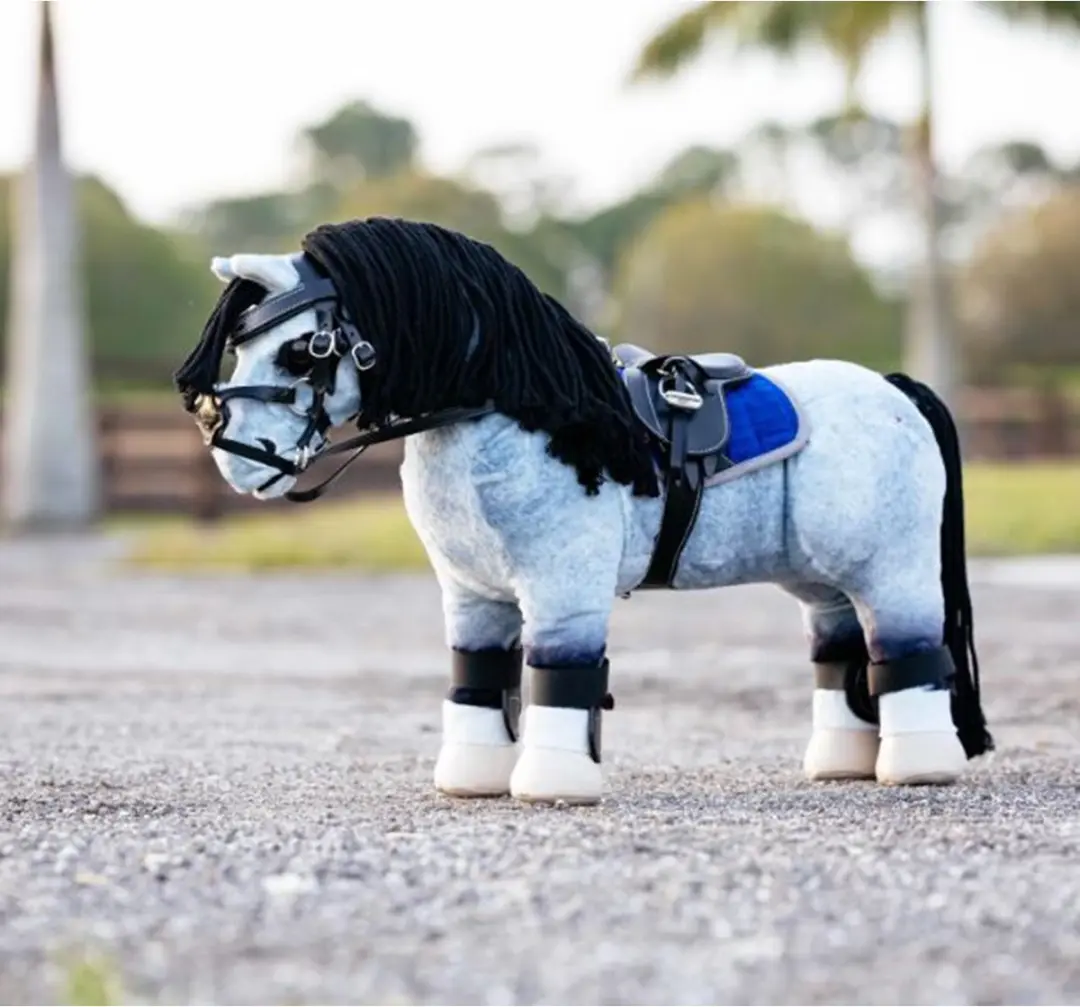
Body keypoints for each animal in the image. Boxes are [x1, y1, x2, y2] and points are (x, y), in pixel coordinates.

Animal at [174, 216, 992, 807]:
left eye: (301, 351)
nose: (235, 455)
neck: (519, 408)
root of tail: (893, 388)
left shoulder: (562, 589)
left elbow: (557, 676)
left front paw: (552, 786)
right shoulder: (472, 595)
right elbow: (478, 676)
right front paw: (473, 778)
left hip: (893, 569)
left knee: (907, 653)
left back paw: (916, 766)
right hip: (822, 579)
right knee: (841, 651)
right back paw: (841, 765)